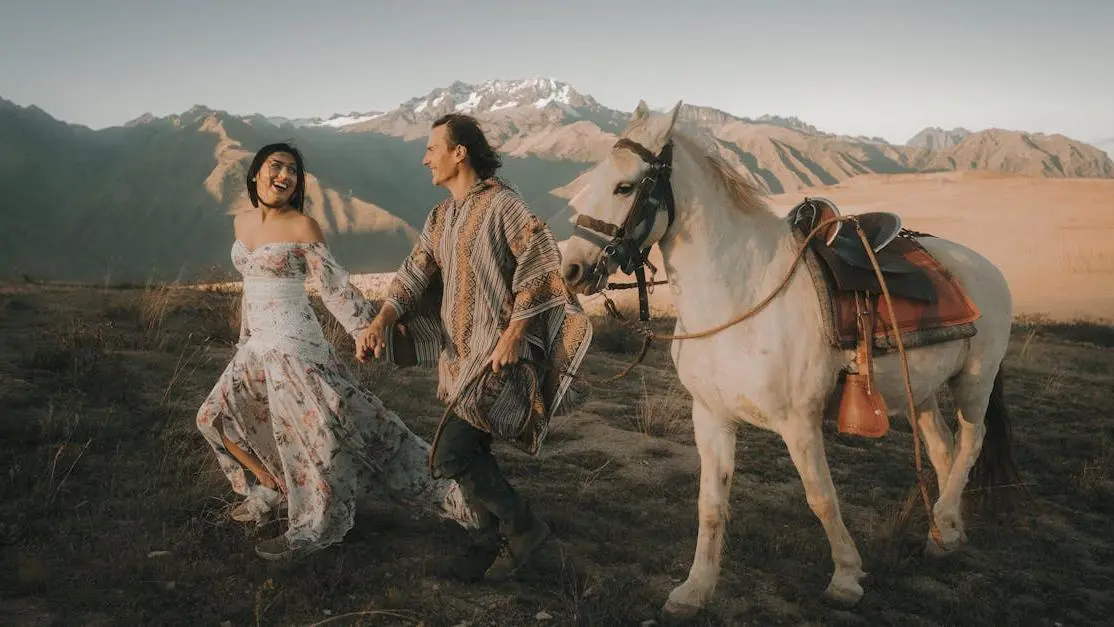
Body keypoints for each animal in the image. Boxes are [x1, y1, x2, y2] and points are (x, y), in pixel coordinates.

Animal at [561, 101, 1020, 619]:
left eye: (625, 186)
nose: (572, 269)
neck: (743, 296)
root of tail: (982, 267)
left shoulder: (799, 422)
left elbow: (821, 497)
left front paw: (846, 577)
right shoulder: (711, 417)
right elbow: (710, 504)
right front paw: (695, 590)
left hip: (975, 381)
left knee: (971, 442)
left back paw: (943, 520)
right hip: (919, 389)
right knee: (943, 448)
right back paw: (946, 533)